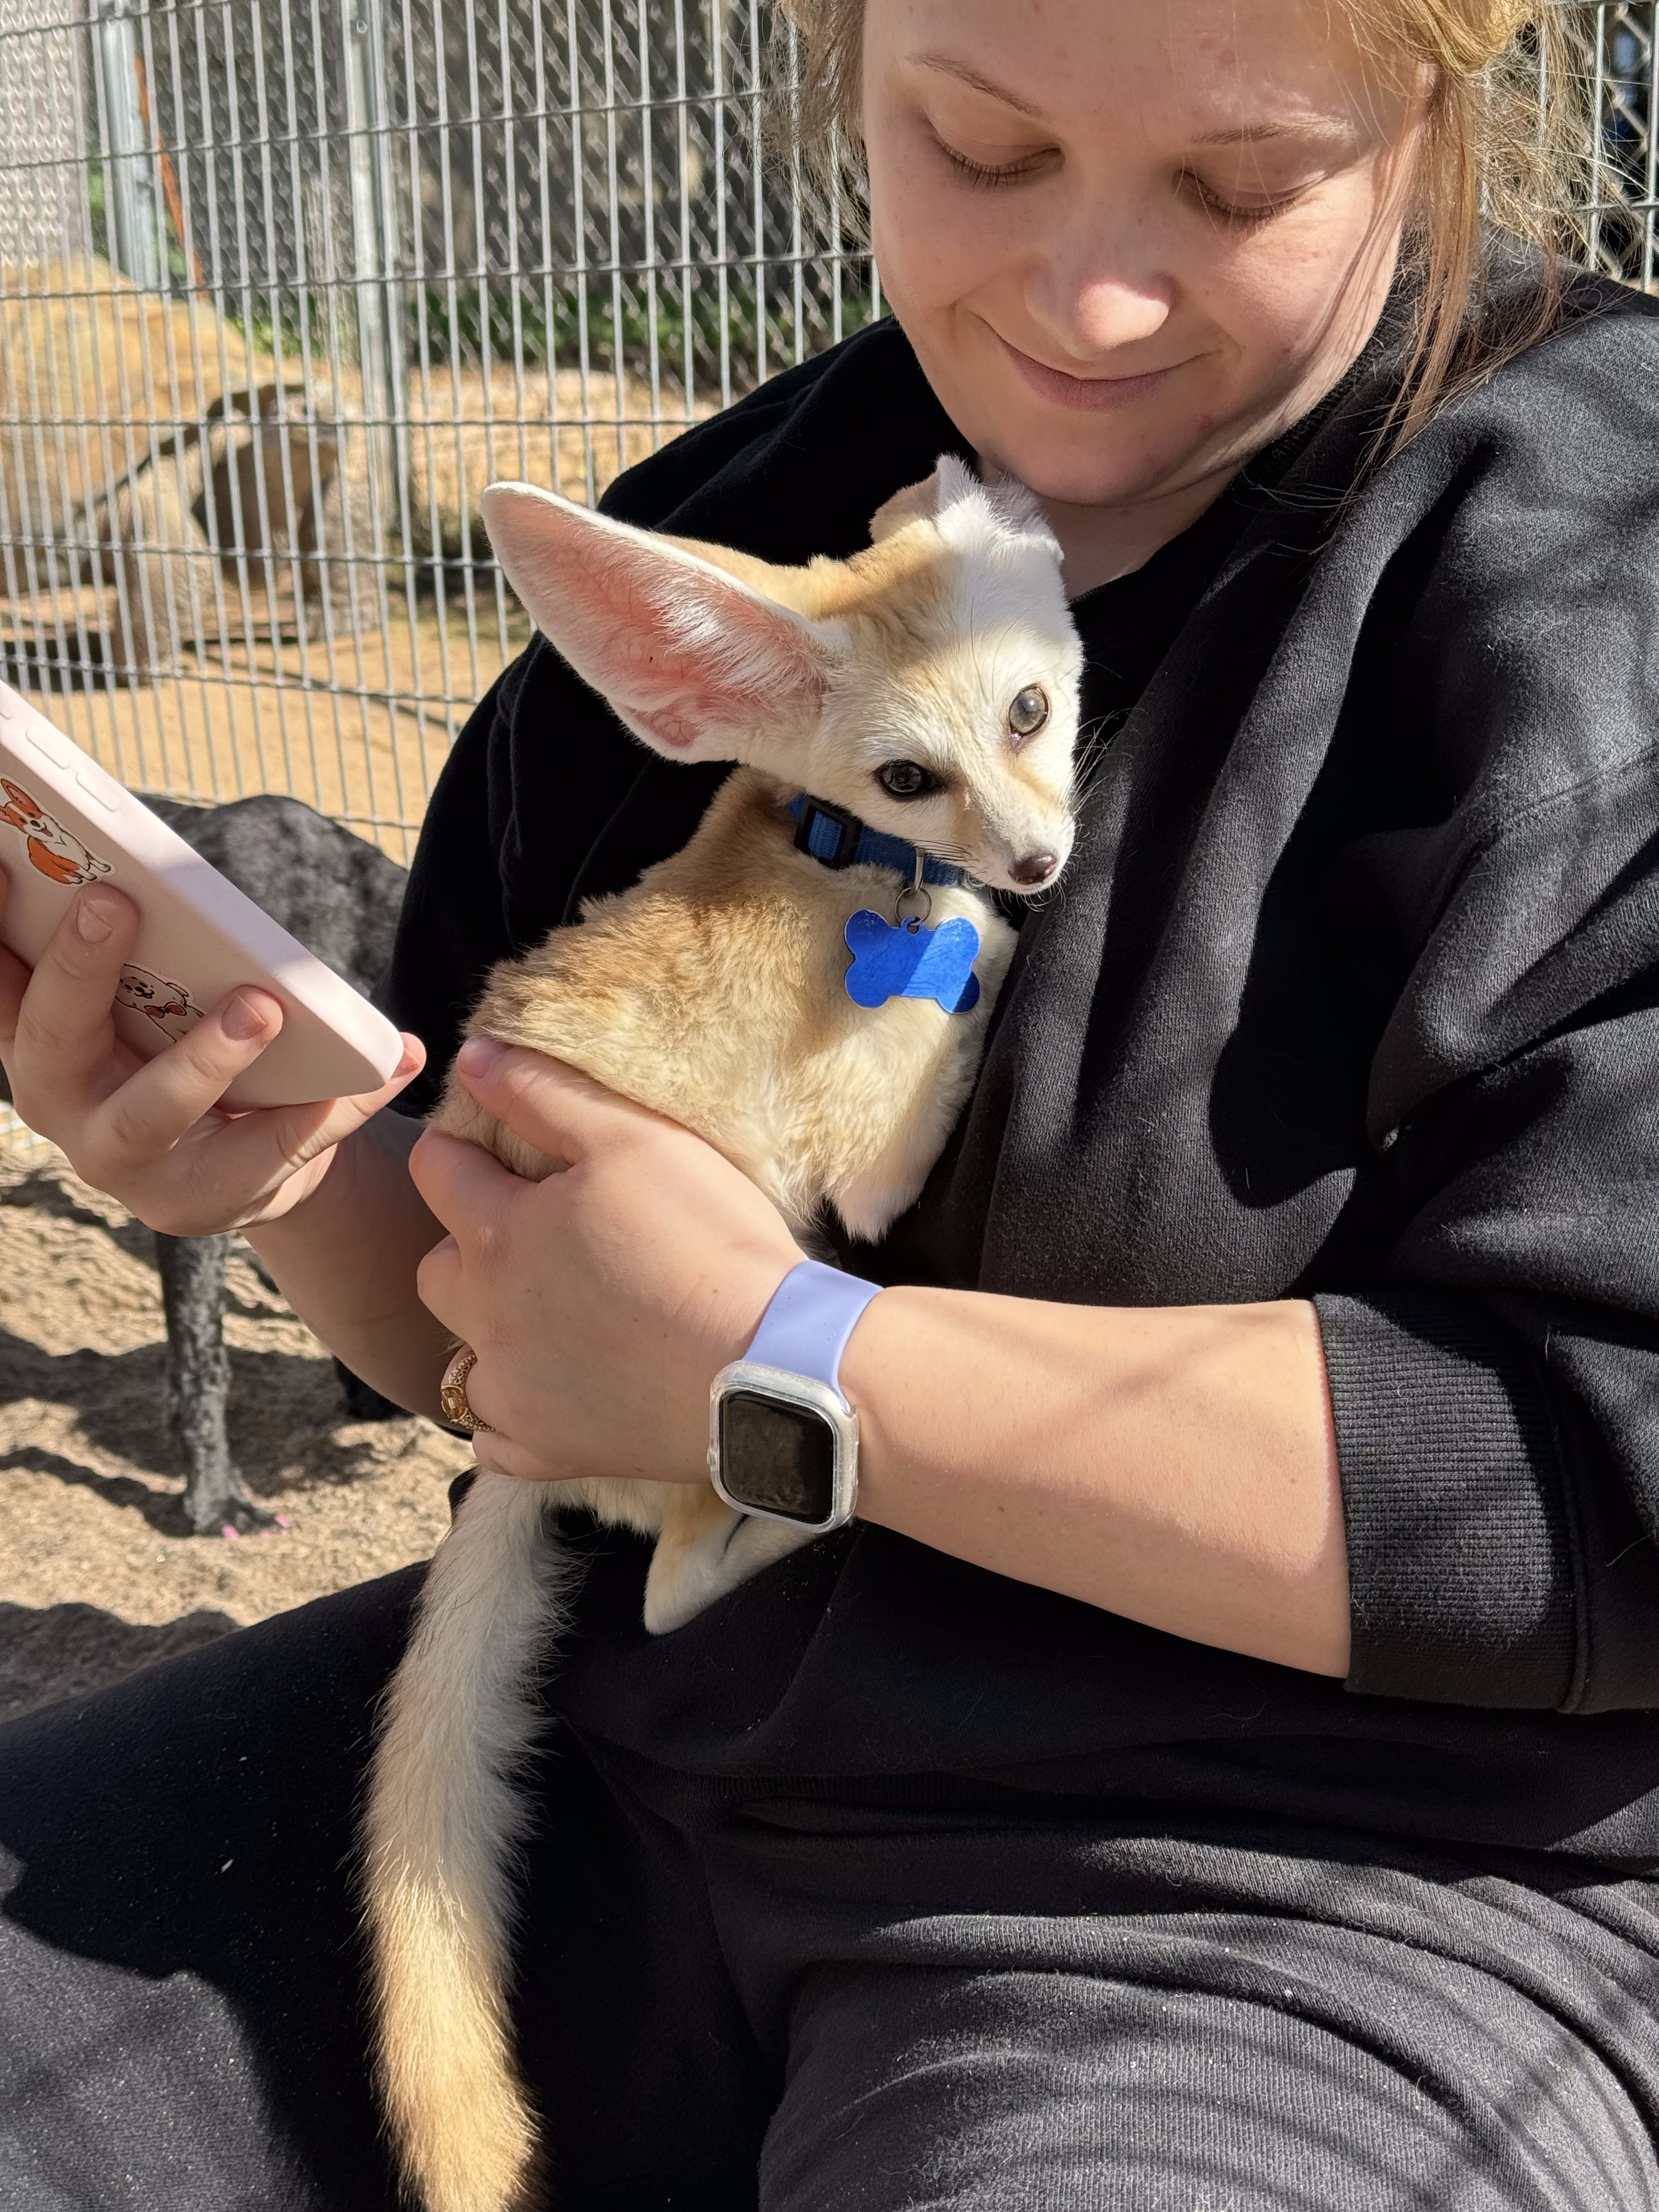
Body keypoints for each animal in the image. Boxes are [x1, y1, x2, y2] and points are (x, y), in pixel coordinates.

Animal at [363, 453, 1084, 2212]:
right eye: (907, 775)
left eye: (1032, 710)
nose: (1042, 865)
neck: (847, 863)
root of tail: (515, 1458)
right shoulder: (871, 1165)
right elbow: (957, 1014)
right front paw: (987, 941)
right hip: (711, 1397)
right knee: (683, 1580)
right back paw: (815, 1539)